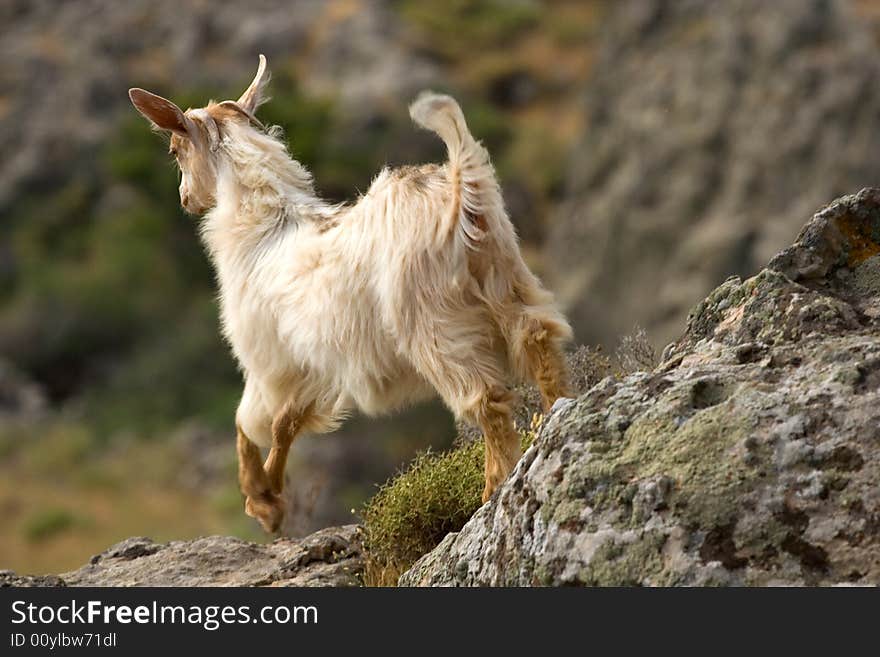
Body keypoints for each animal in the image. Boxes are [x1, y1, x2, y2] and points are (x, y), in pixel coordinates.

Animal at [129, 53, 572, 532]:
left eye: (175, 151)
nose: (185, 198)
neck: (266, 228)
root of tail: (460, 192)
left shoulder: (268, 359)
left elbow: (250, 420)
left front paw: (261, 499)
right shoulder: (313, 366)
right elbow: (287, 423)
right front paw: (271, 497)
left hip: (434, 325)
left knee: (485, 398)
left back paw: (493, 489)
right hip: (508, 284)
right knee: (539, 344)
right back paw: (553, 422)